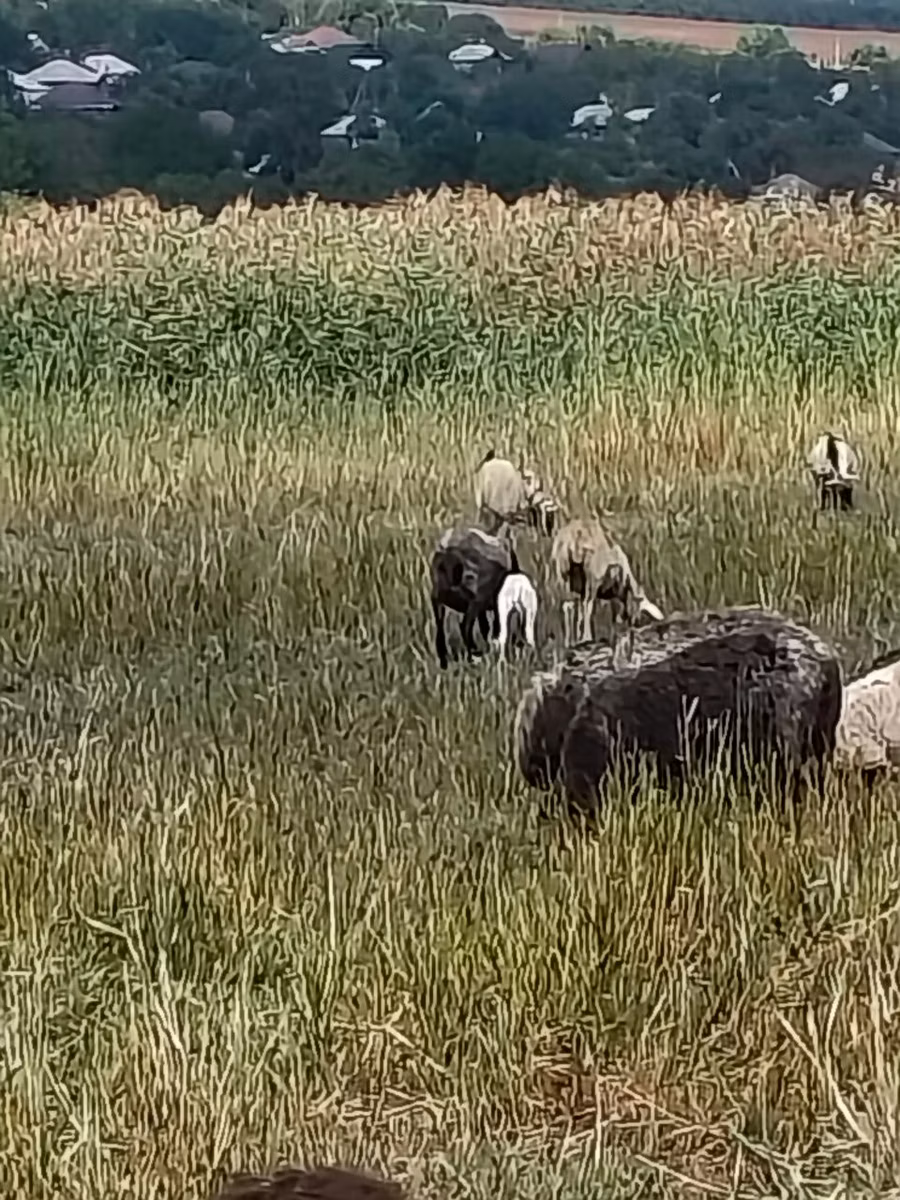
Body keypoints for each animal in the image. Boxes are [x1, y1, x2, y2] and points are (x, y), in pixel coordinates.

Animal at [431, 524, 518, 669]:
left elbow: (485, 627)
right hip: (474, 601)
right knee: (465, 626)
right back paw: (474, 655)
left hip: (438, 597)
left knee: (440, 628)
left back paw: (445, 662)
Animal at [550, 517, 664, 646]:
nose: (636, 623)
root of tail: (574, 539)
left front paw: (577, 637)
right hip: (592, 575)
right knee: (588, 604)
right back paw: (588, 638)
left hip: (563, 574)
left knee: (567, 604)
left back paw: (569, 643)